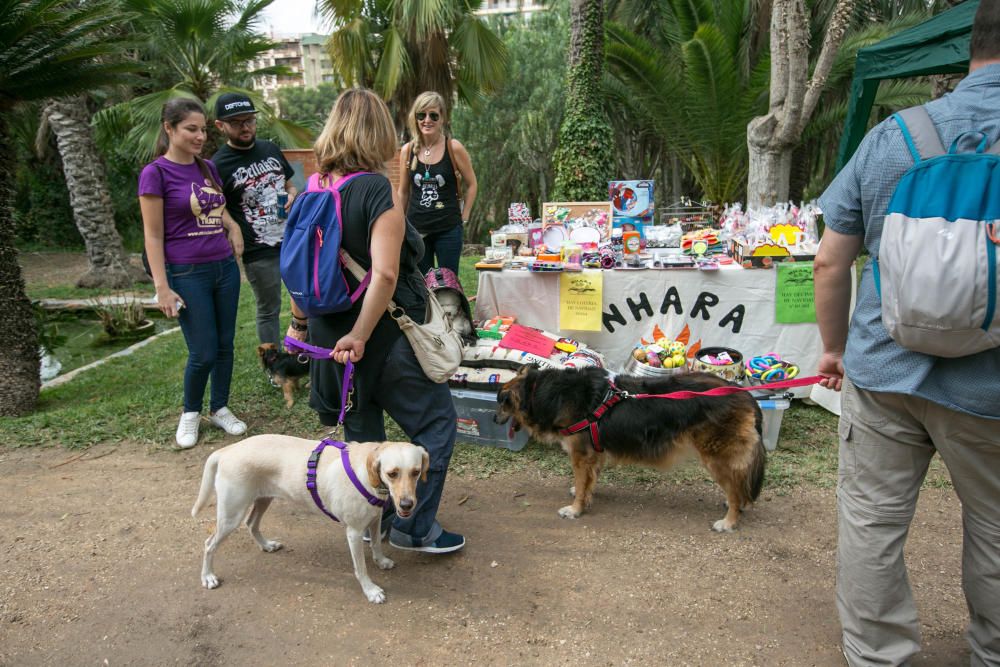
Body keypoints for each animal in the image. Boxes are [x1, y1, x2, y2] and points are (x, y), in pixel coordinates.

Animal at [193, 438, 428, 604]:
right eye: (392, 473)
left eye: (416, 472)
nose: (407, 505)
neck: (367, 474)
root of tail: (228, 449)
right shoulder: (354, 532)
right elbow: (361, 568)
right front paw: (370, 590)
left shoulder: (375, 519)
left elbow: (377, 544)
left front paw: (381, 561)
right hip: (230, 516)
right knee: (208, 544)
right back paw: (208, 577)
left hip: (263, 500)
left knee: (251, 524)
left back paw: (266, 545)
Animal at [498, 366, 764, 532]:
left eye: (501, 403)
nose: (492, 418)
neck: (545, 391)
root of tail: (745, 396)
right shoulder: (594, 452)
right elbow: (589, 481)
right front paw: (585, 495)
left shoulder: (580, 455)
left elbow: (582, 482)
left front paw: (575, 509)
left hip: (717, 457)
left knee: (735, 488)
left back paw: (729, 521)